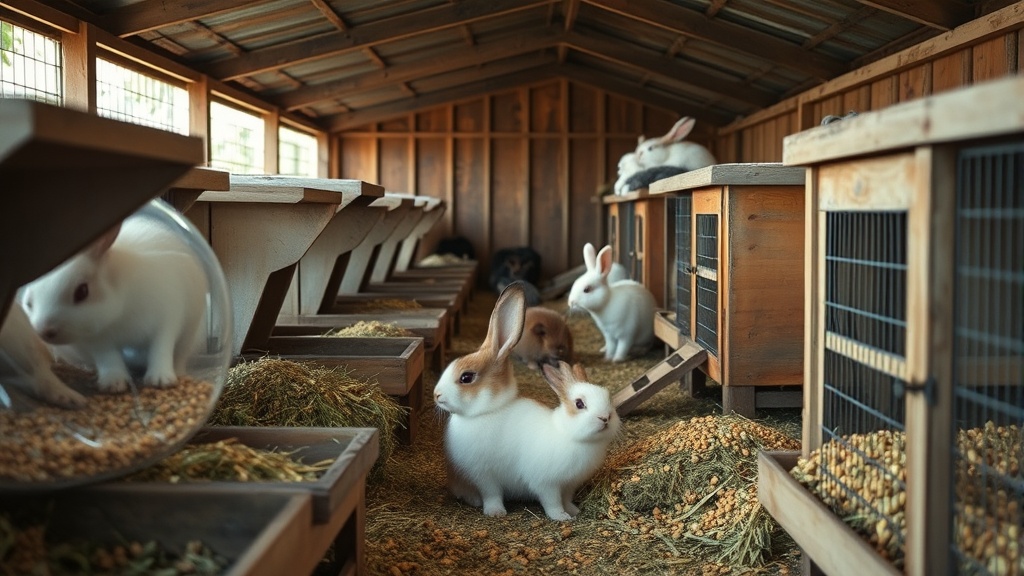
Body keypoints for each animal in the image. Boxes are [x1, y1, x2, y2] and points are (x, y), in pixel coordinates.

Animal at [19, 203, 210, 393]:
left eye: (82, 292)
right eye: (29, 301)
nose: (43, 331)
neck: (119, 313)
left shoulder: (166, 321)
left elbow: (161, 350)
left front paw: (161, 380)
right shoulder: (99, 342)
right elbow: (109, 360)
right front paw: (114, 384)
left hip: (188, 336)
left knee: (179, 357)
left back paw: (180, 373)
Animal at [433, 284, 620, 520]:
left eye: (466, 377)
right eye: (579, 404)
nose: (436, 395)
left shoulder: (568, 485)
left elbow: (566, 499)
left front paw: (572, 511)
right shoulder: (502, 477)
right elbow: (525, 498)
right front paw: (498, 512)